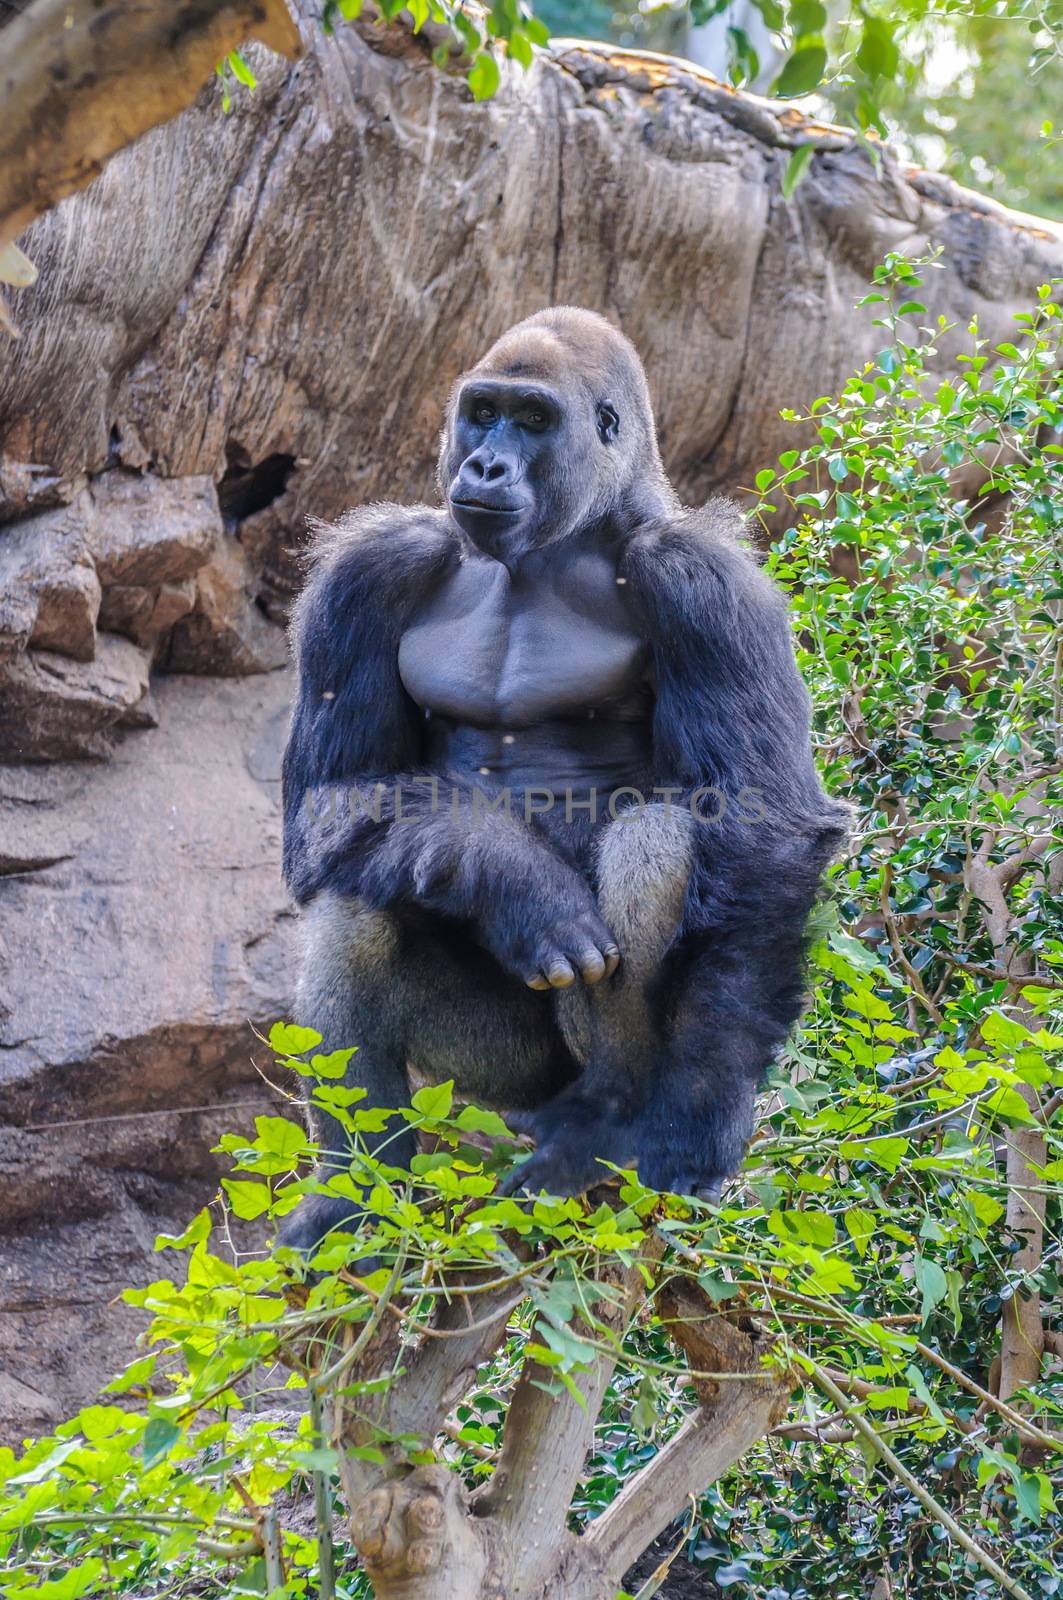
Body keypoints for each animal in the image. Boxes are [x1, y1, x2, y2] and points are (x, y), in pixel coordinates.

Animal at [278, 302, 851, 1248]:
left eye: (535, 419)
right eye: (482, 412)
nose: (485, 463)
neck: (559, 542)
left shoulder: (704, 582)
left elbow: (762, 821)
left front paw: (700, 1120)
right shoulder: (370, 569)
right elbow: (335, 797)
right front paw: (511, 877)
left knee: (658, 841)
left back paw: (606, 1120)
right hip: (491, 1078)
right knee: (356, 895)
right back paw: (358, 1191)